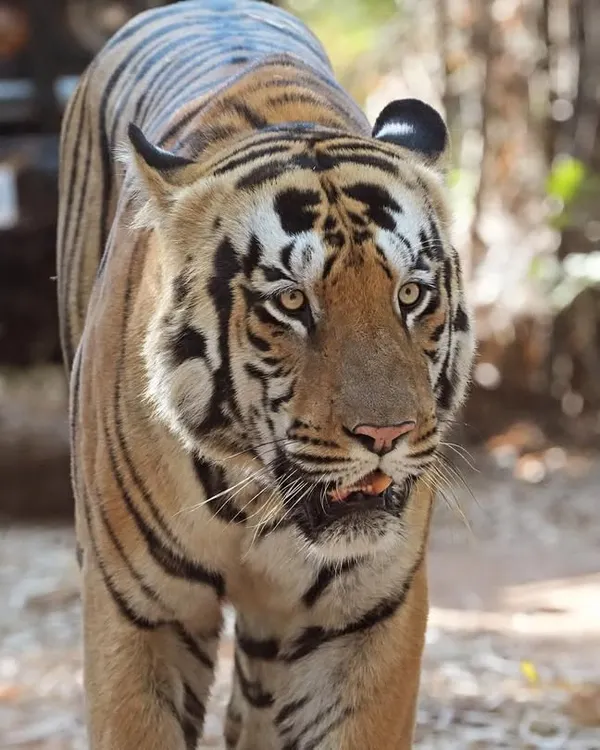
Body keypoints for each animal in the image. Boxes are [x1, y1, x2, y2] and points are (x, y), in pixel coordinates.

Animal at [56, 1, 475, 748]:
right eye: (291, 303)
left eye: (410, 295)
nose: (387, 435)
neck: (257, 500)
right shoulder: (140, 613)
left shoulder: (365, 615)